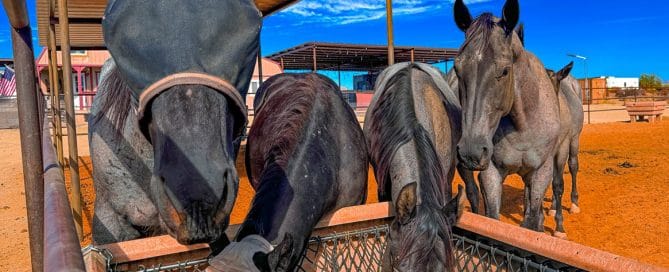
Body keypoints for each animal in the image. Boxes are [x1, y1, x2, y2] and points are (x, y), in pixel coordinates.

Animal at [452, 0, 560, 234]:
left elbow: (531, 222)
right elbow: (492, 220)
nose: (471, 152)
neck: (523, 127)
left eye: (504, 71)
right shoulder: (491, 173)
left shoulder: (541, 172)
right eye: (457, 69)